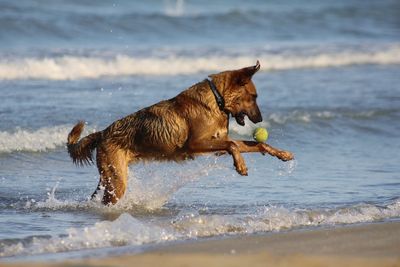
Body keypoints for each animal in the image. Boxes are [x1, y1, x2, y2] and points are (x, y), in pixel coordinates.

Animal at [67, 61, 294, 206]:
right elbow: (232, 145)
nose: (260, 119)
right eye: (254, 97)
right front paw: (241, 165)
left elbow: (253, 145)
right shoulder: (196, 144)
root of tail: (102, 133)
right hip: (117, 180)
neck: (217, 99)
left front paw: (282, 154)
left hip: (110, 178)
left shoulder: (217, 144)